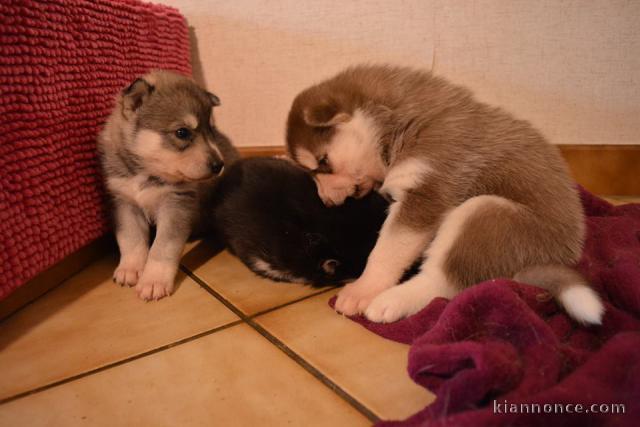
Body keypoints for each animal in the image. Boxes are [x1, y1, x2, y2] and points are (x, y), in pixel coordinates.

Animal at [99, 71, 239, 300]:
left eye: (211, 130)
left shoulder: (176, 205)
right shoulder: (124, 202)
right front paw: (130, 268)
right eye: (182, 132)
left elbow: (163, 247)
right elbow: (131, 239)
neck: (146, 172)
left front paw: (153, 280)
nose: (219, 165)